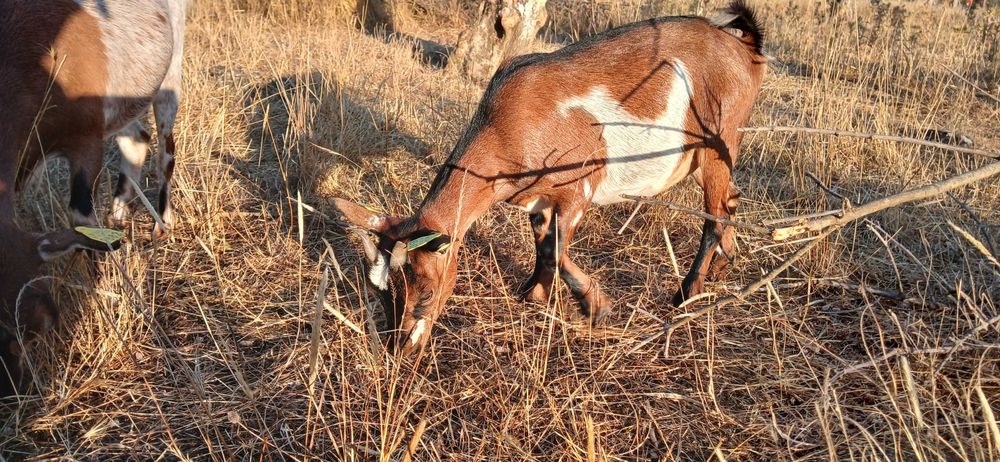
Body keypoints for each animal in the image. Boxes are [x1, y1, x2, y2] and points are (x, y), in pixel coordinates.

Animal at [0, 0, 186, 396]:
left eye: (36, 332)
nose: (14, 389)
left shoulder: (85, 137)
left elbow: (82, 219)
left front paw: (97, 290)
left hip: (170, 72)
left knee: (165, 148)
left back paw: (162, 222)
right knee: (137, 139)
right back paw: (118, 214)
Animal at [334, 1, 766, 354]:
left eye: (424, 291)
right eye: (379, 291)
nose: (401, 348)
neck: (504, 126)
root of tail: (745, 49)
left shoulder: (578, 189)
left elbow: (553, 251)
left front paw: (596, 308)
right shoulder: (537, 200)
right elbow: (542, 247)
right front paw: (535, 296)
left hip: (719, 138)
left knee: (714, 215)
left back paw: (686, 294)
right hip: (706, 156)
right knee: (730, 199)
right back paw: (724, 265)